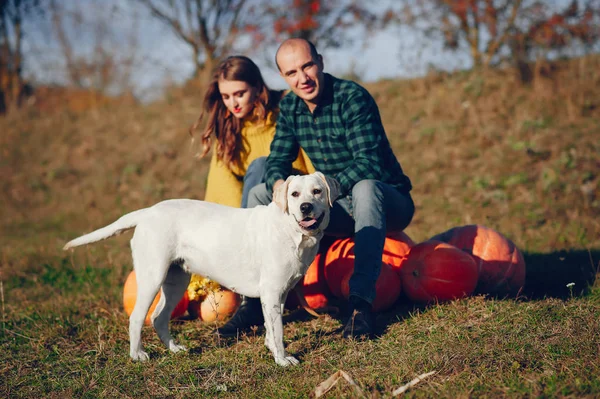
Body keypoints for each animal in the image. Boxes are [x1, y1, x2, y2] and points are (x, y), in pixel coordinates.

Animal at [64, 172, 342, 366]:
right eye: (294, 194)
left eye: (317, 191)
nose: (306, 207)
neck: (290, 231)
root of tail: (148, 212)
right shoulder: (272, 292)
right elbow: (279, 332)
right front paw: (283, 360)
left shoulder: (280, 295)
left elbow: (272, 329)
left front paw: (273, 351)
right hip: (152, 278)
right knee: (137, 318)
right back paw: (137, 355)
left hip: (176, 282)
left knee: (159, 317)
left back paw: (174, 349)